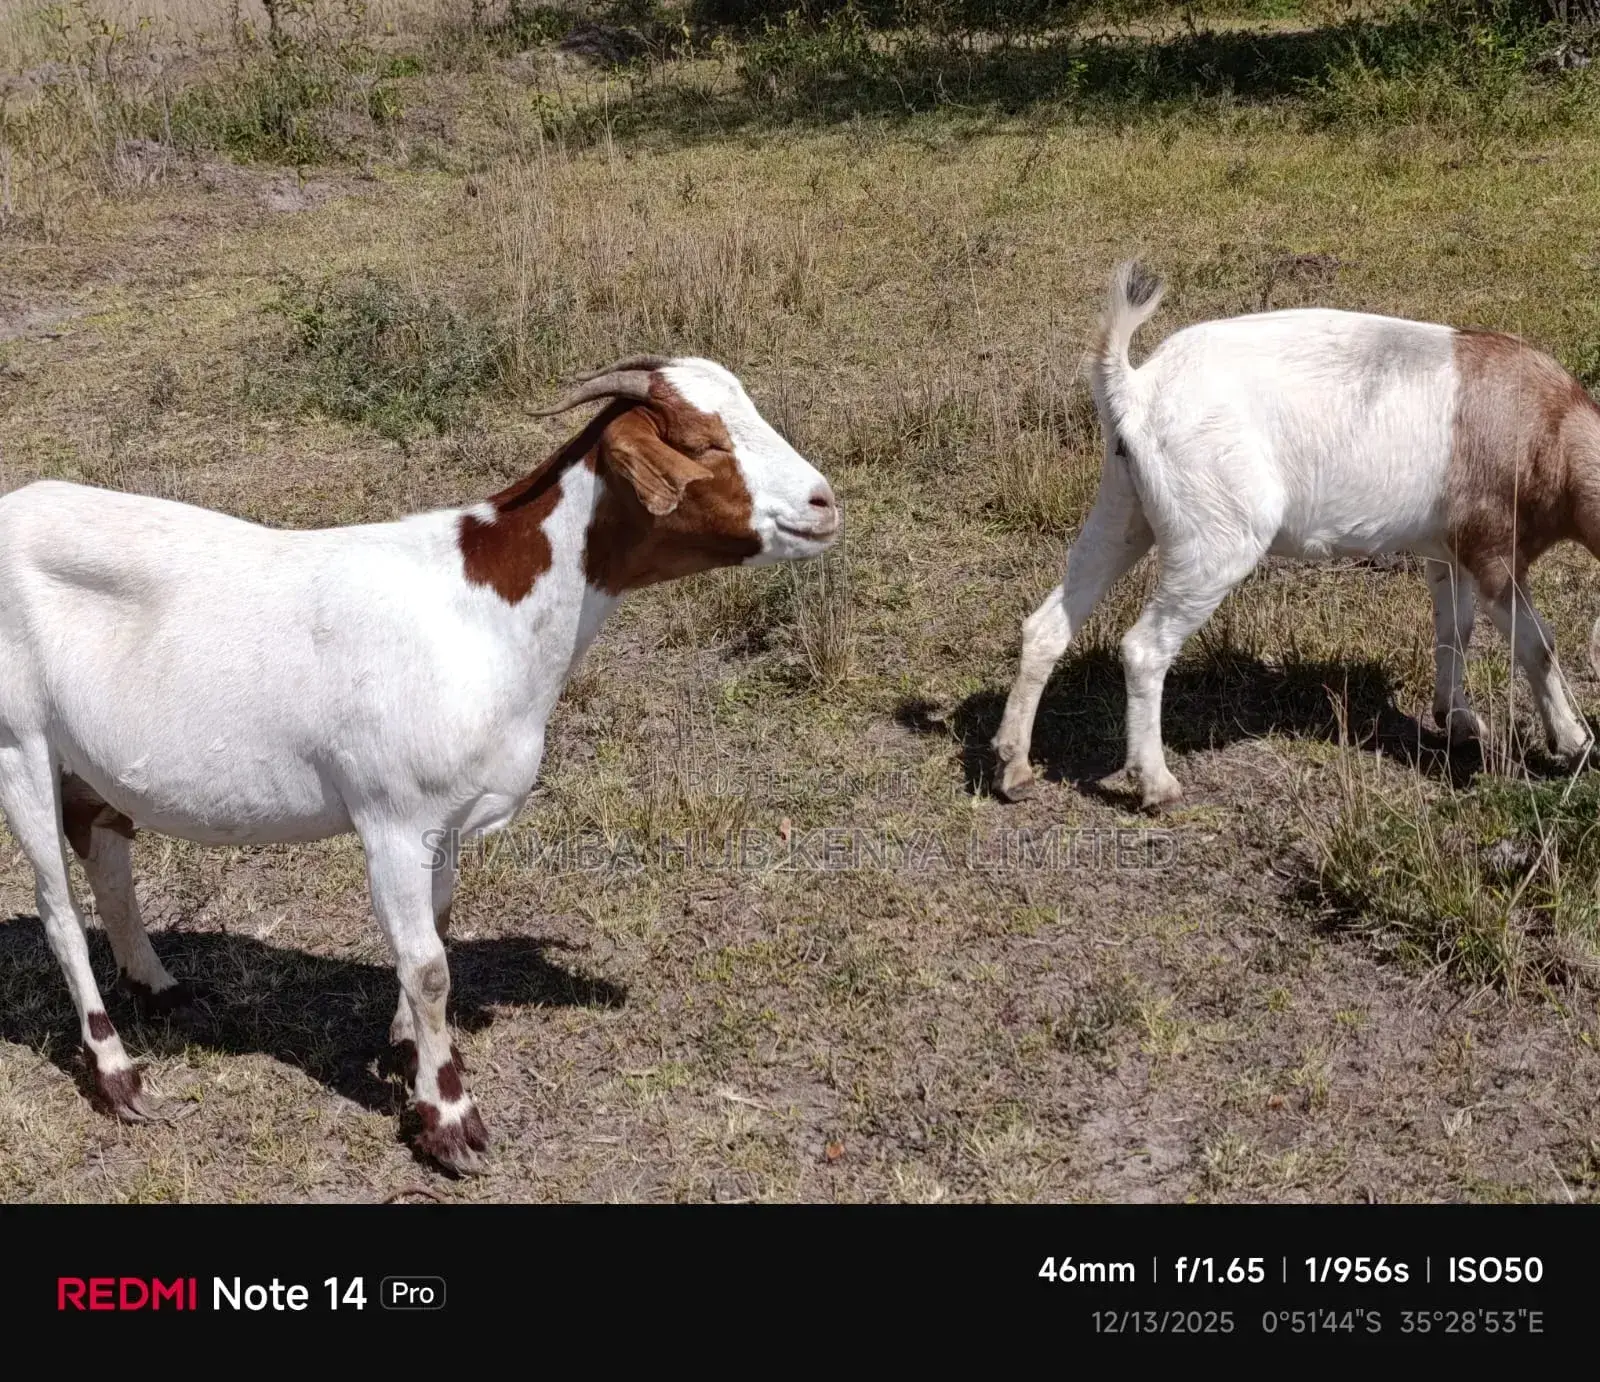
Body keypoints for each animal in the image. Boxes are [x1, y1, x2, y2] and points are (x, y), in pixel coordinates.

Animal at [0, 356, 839, 1173]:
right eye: (701, 443)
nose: (824, 503)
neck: (483, 612)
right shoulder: (394, 818)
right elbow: (430, 965)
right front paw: (450, 1121)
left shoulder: (448, 820)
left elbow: (433, 928)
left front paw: (406, 1047)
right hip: (20, 743)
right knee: (57, 908)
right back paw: (117, 1074)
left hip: (87, 758)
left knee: (106, 850)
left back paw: (160, 988)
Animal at [994, 262, 1600, 809]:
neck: (1552, 432)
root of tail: (1136, 386)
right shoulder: (1496, 553)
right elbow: (1538, 643)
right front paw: (1572, 741)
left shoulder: (1451, 553)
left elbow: (1456, 629)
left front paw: (1458, 720)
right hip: (1216, 542)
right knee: (1144, 648)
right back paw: (1157, 785)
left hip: (1122, 513)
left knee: (1046, 625)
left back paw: (1014, 767)